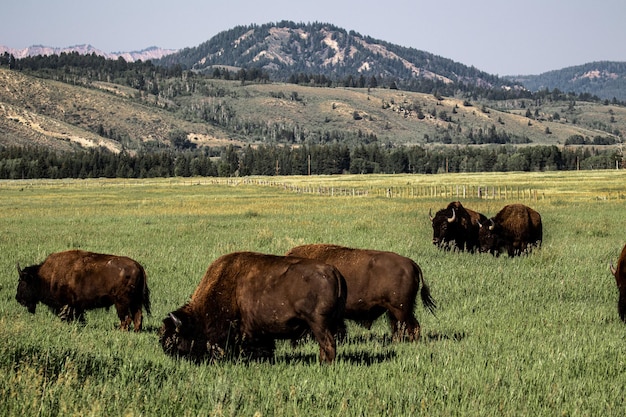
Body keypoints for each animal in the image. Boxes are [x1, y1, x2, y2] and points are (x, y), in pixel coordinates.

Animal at [15, 249, 150, 330]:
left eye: (22, 282)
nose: (18, 298)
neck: (43, 276)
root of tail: (139, 266)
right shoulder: (77, 306)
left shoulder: (67, 304)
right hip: (135, 302)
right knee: (138, 317)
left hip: (121, 303)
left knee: (126, 319)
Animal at [158, 252, 346, 362]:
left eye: (174, 337)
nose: (167, 352)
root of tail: (333, 271)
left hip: (318, 323)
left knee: (328, 344)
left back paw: (325, 364)